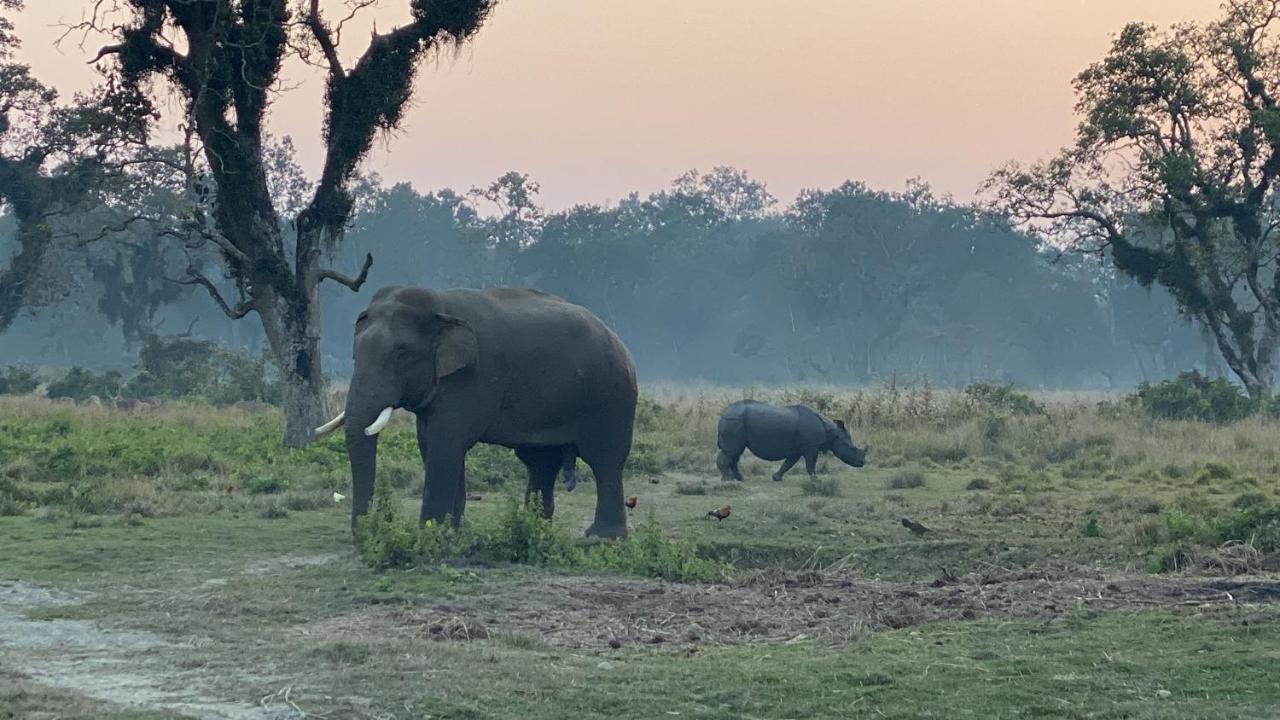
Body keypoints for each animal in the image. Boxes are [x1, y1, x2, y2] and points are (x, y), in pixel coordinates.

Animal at [317, 283, 637, 535]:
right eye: (355, 352)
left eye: (402, 354)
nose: (367, 531)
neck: (440, 306)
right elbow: (432, 444)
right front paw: (451, 532)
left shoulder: (471, 378)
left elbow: (446, 442)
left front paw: (430, 535)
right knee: (541, 462)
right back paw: (533, 527)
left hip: (612, 396)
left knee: (605, 460)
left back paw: (602, 537)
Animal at [716, 397, 865, 481]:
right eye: (851, 447)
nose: (862, 463)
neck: (832, 432)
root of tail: (724, 413)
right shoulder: (811, 446)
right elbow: (810, 463)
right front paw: (816, 480)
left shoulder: (797, 448)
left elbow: (789, 463)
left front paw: (776, 478)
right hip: (734, 421)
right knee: (732, 451)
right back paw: (727, 480)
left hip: (735, 421)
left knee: (735, 453)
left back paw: (739, 479)